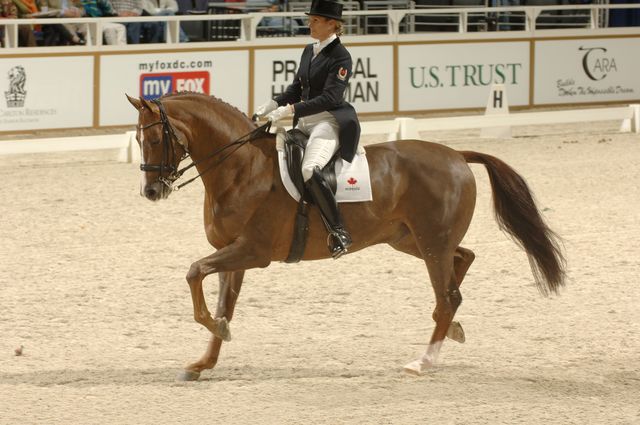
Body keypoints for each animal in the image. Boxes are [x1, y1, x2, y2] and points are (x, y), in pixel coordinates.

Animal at [126, 92, 564, 378]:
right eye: (137, 139)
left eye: (156, 137)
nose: (151, 192)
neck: (241, 167)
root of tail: (457, 155)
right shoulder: (233, 254)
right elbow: (222, 305)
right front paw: (204, 362)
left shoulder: (252, 251)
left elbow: (194, 273)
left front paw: (214, 335)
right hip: (410, 239)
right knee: (463, 261)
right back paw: (451, 331)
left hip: (430, 243)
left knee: (448, 296)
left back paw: (423, 361)